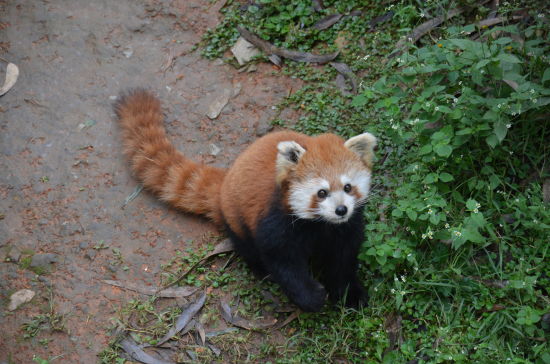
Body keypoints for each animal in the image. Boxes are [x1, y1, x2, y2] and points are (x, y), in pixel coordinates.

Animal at [114, 89, 378, 310]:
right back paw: (260, 269)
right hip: (236, 218)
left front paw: (350, 293)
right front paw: (312, 297)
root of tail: (227, 177)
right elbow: (283, 263)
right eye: (322, 192)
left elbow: (342, 260)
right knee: (247, 247)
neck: (321, 225)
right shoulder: (276, 223)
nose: (341, 210)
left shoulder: (345, 229)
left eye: (348, 187)